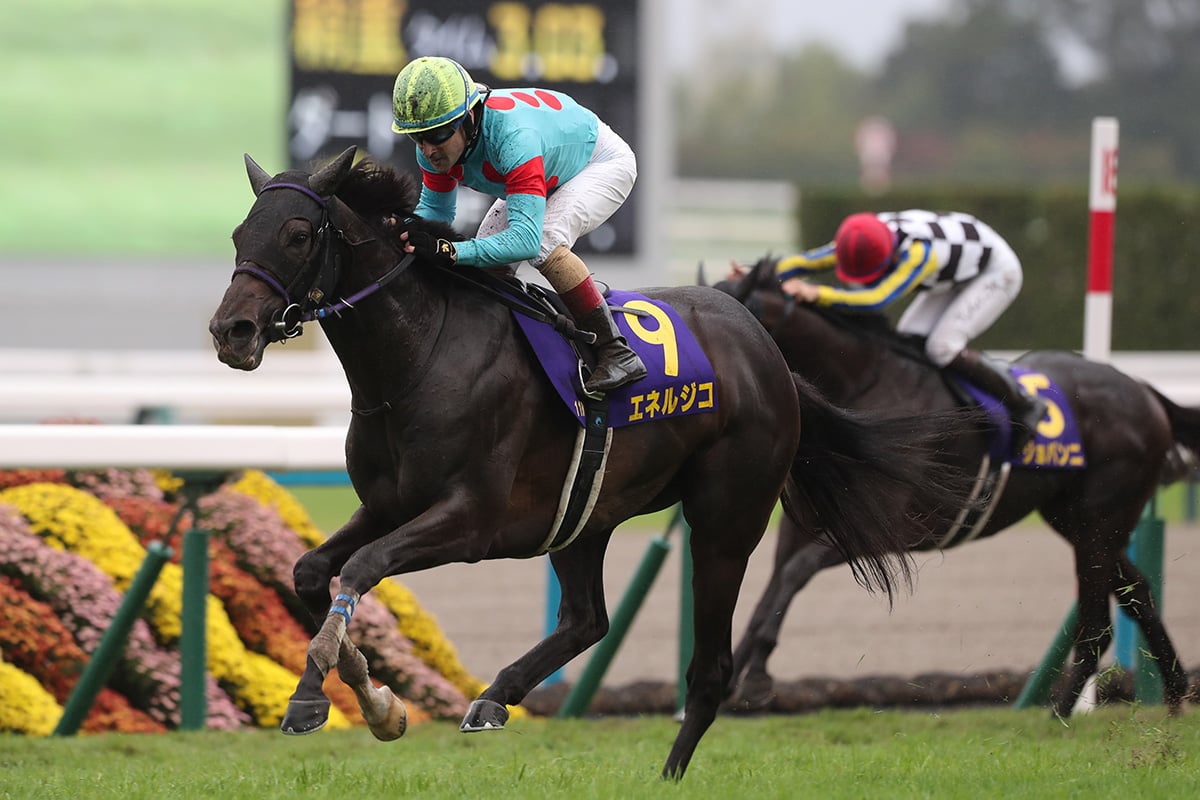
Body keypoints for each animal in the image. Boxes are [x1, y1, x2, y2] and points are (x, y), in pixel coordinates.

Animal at [207, 147, 982, 779]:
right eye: (240, 234)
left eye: (298, 234)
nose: (230, 331)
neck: (420, 355)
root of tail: (770, 355)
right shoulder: (389, 505)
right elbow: (314, 571)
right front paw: (377, 701)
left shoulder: (471, 519)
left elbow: (363, 568)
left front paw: (317, 701)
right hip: (584, 512)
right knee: (588, 619)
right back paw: (495, 698)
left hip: (725, 520)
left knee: (711, 666)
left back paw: (667, 775)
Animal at [708, 254, 1200, 717]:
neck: (864, 388)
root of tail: (1145, 391)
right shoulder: (802, 527)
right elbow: (773, 589)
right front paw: (738, 680)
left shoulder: (885, 531)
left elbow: (791, 577)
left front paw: (752, 679)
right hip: (1078, 519)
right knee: (1138, 593)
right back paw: (1176, 693)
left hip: (1101, 518)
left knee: (1099, 620)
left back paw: (1061, 713)